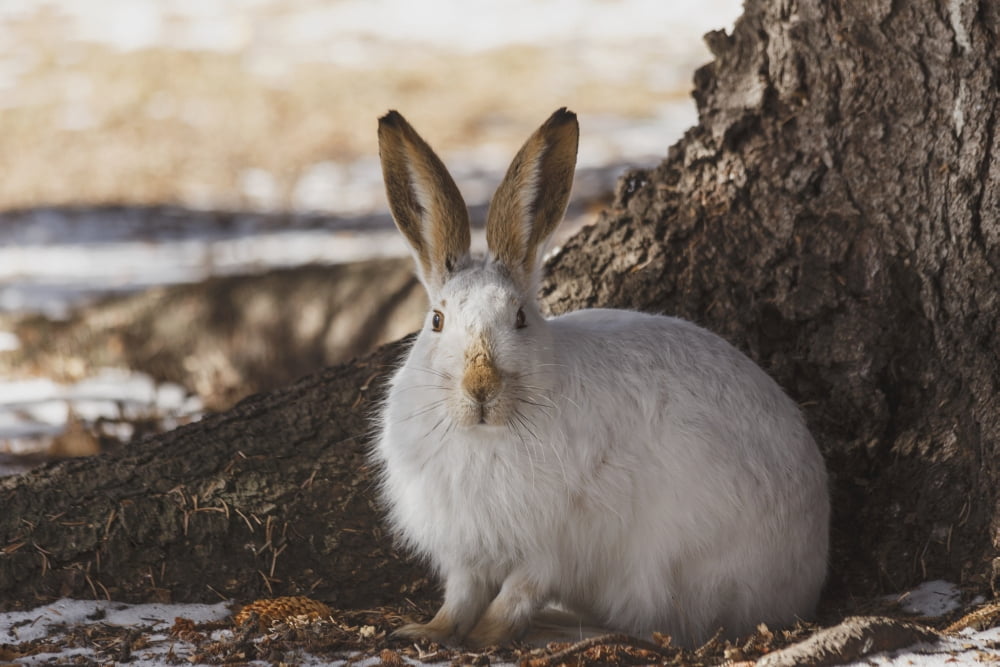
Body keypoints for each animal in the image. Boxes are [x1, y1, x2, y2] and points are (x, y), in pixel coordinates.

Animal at [372, 107, 829, 649]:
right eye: (437, 321)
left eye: (521, 318)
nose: (480, 387)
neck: (486, 433)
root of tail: (810, 577)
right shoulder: (467, 550)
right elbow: (461, 595)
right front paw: (427, 630)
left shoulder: (556, 543)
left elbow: (518, 592)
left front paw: (487, 637)